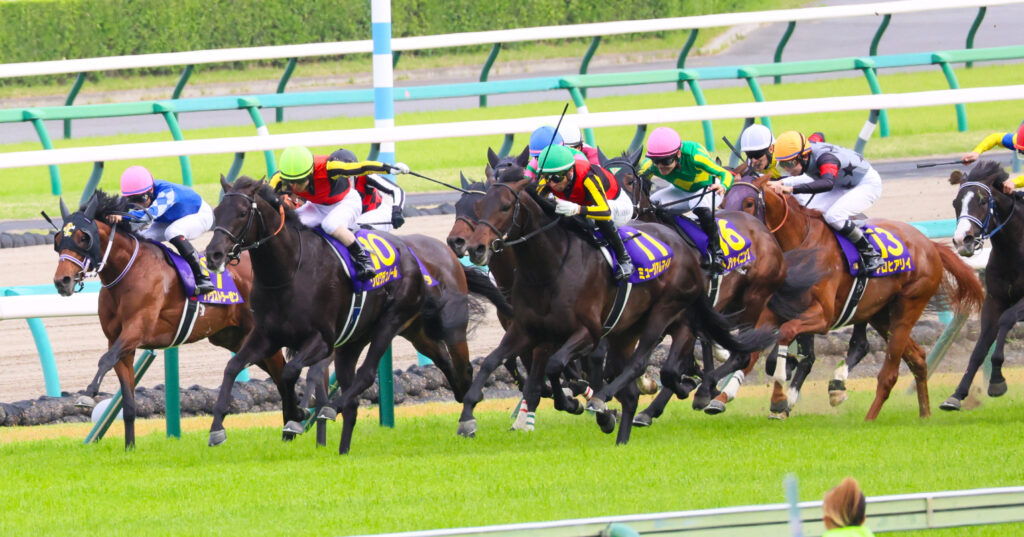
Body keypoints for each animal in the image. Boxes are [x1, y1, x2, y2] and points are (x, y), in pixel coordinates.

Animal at [51, 191, 288, 449]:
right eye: (58, 239)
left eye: (84, 238)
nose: (62, 281)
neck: (128, 271)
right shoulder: (120, 343)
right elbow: (128, 403)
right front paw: (129, 448)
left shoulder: (136, 331)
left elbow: (105, 359)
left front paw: (88, 393)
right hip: (234, 338)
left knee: (282, 375)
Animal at [205, 176, 510, 454]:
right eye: (217, 212)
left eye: (242, 212)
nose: (213, 254)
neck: (288, 271)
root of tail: (412, 253)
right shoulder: (266, 335)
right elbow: (233, 367)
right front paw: (217, 427)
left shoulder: (322, 340)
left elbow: (291, 372)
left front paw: (297, 416)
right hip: (364, 339)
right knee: (436, 361)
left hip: (393, 322)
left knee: (366, 376)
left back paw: (332, 408)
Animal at [457, 177, 776, 444]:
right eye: (479, 206)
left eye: (505, 206)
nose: (475, 248)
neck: (550, 267)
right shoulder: (528, 329)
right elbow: (493, 363)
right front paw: (467, 418)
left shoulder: (588, 332)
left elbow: (555, 366)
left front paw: (580, 404)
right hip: (631, 330)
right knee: (638, 385)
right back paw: (629, 430)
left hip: (669, 312)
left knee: (643, 363)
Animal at [721, 173, 984, 419]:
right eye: (723, 200)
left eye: (748, 203)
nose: (732, 239)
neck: (800, 246)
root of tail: (931, 245)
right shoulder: (774, 311)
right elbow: (755, 349)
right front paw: (722, 397)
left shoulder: (822, 317)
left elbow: (786, 335)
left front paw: (778, 400)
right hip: (880, 315)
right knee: (917, 358)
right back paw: (924, 415)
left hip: (907, 307)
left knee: (889, 373)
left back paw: (868, 417)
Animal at [943, 161, 1019, 410]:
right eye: (956, 203)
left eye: (983, 201)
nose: (962, 240)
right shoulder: (994, 301)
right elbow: (979, 348)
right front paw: (957, 394)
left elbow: (1006, 320)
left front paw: (996, 381)